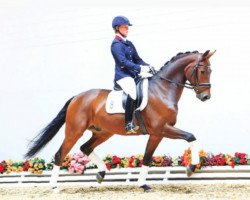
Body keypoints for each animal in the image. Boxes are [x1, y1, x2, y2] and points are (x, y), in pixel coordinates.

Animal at [25, 49, 217, 191]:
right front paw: (191, 168)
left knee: (85, 147)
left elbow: (147, 157)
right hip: (74, 131)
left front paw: (143, 184)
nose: (206, 97)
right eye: (202, 71)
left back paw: (101, 174)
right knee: (61, 154)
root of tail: (77, 97)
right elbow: (190, 137)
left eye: (210, 71)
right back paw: (54, 186)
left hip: (103, 132)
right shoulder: (161, 129)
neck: (163, 90)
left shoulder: (158, 134)